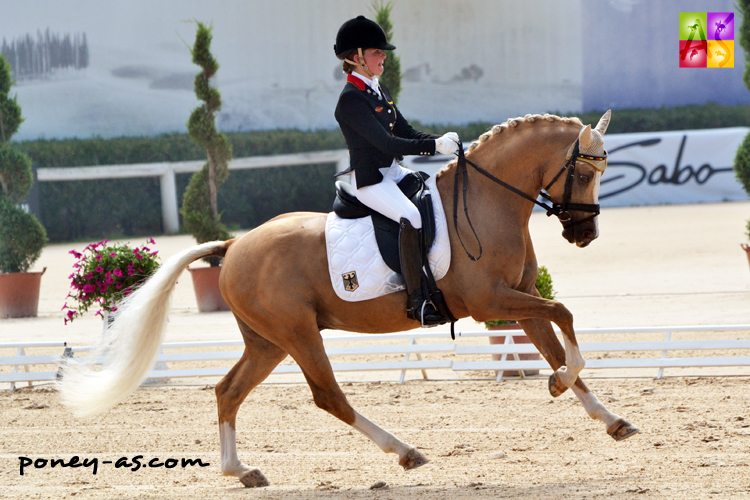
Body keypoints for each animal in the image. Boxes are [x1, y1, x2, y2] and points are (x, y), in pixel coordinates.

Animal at [61, 110, 640, 488]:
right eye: (583, 171)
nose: (584, 234)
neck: (486, 201)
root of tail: (235, 245)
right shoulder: (493, 301)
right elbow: (565, 318)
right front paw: (557, 384)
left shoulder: (519, 297)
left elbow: (559, 343)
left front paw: (608, 417)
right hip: (297, 334)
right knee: (328, 397)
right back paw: (405, 452)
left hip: (268, 342)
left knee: (228, 391)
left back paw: (242, 471)